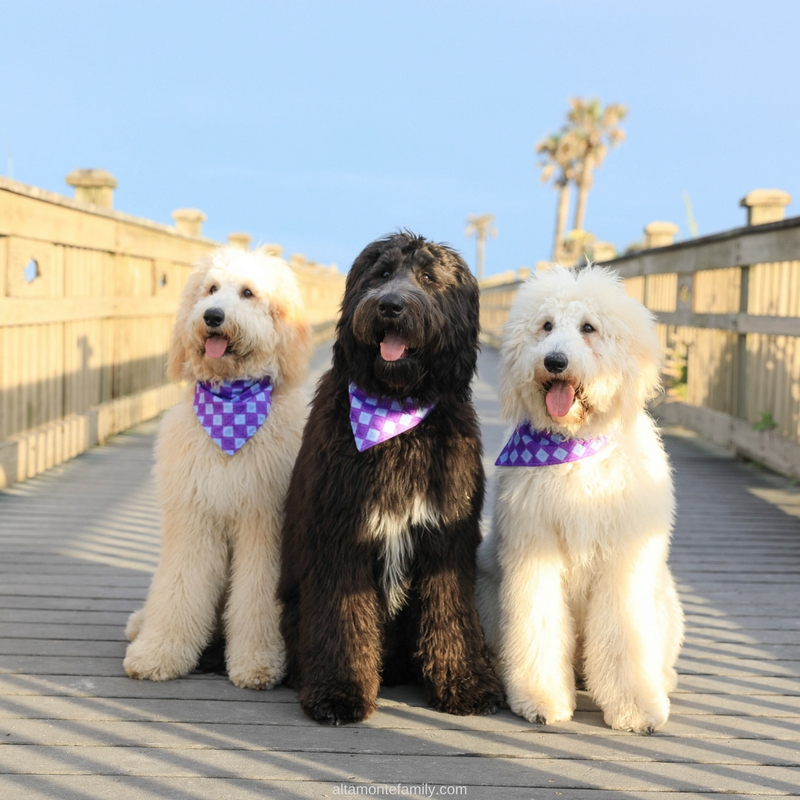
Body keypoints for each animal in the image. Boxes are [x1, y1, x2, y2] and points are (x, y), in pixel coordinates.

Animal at [123, 245, 310, 688]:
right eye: (210, 289)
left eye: (248, 292)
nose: (212, 316)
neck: (230, 407)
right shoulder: (193, 516)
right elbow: (180, 586)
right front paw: (159, 653)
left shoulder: (264, 521)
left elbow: (257, 595)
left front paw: (258, 661)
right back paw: (140, 624)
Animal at [282, 230, 504, 724]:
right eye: (381, 273)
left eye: (429, 277)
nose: (389, 306)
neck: (396, 410)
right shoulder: (341, 534)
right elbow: (343, 618)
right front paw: (339, 692)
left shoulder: (446, 537)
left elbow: (450, 613)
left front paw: (465, 684)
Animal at [478, 266, 684, 736]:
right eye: (545, 325)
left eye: (589, 327)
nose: (555, 361)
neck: (575, 446)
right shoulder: (533, 552)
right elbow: (537, 622)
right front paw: (540, 697)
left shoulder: (624, 562)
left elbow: (625, 635)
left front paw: (636, 707)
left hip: (665, 600)